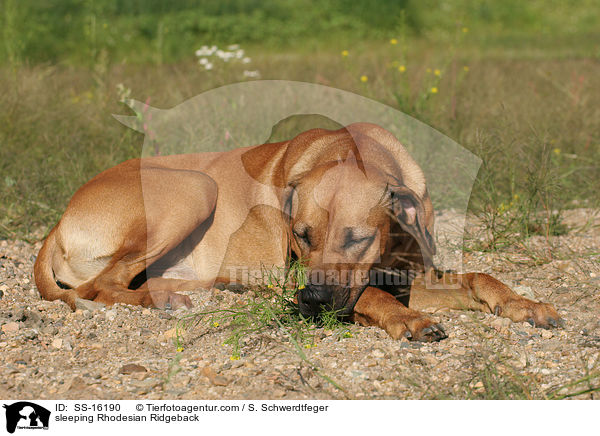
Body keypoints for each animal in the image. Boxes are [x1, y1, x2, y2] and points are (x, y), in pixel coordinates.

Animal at [32, 122, 560, 340]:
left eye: (357, 238)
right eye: (301, 235)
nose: (312, 300)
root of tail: (58, 221)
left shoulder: (409, 273)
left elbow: (479, 277)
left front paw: (524, 304)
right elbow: (370, 295)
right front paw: (406, 319)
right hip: (195, 186)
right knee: (104, 285)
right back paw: (163, 301)